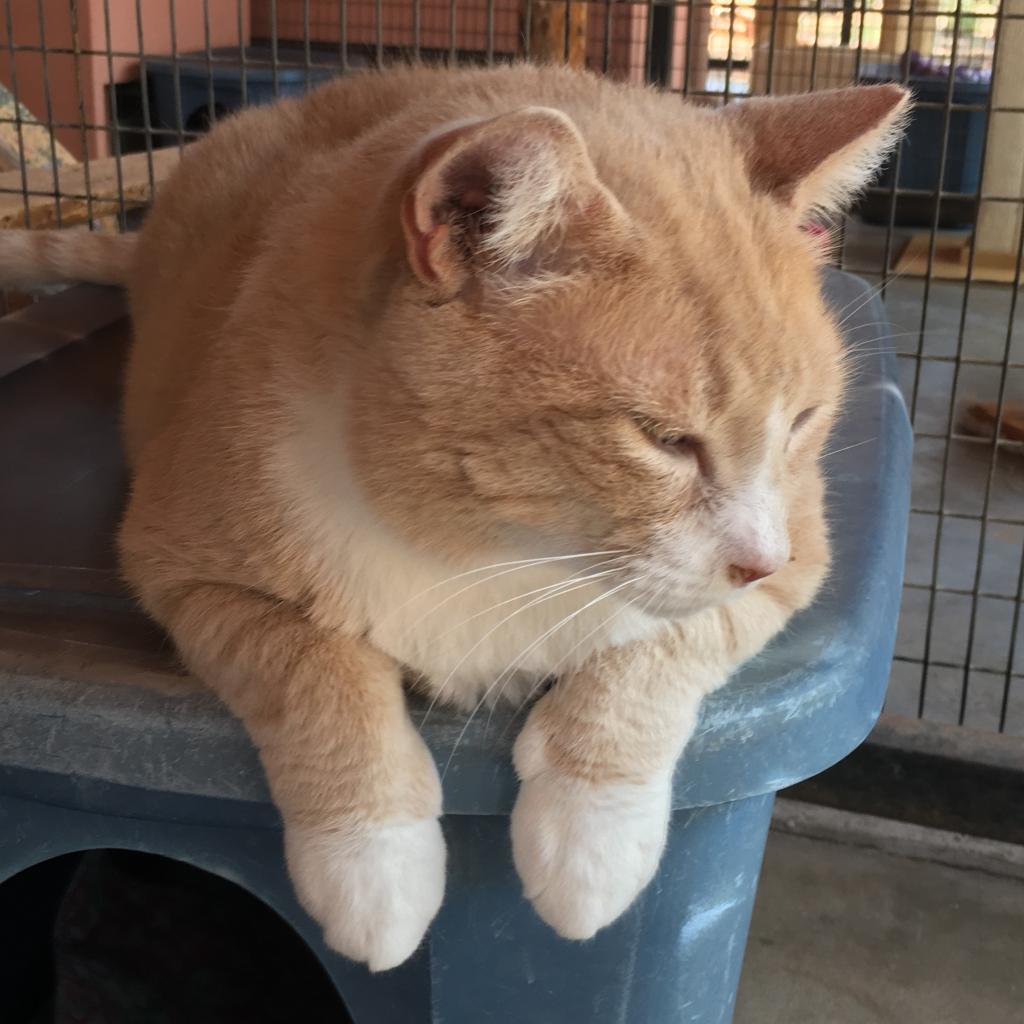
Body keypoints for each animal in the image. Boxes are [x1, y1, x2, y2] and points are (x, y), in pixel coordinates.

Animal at [2, 64, 913, 966]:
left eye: (802, 421)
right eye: (665, 440)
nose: (755, 560)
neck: (491, 544)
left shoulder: (798, 555)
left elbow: (658, 647)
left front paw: (593, 834)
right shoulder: (183, 564)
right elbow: (309, 665)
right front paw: (372, 862)